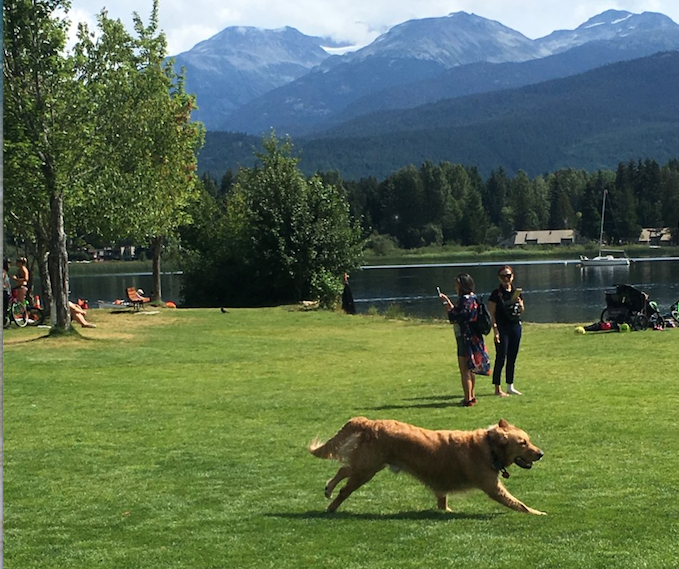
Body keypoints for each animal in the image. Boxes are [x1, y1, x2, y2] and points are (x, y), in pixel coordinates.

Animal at [308, 414, 548, 512]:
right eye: (523, 443)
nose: (541, 453)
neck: (488, 446)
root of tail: (370, 422)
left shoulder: (443, 485)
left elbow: (442, 500)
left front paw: (446, 511)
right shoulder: (492, 487)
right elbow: (519, 504)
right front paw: (539, 514)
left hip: (368, 465)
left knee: (344, 468)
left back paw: (328, 489)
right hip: (368, 469)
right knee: (344, 488)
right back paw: (331, 507)